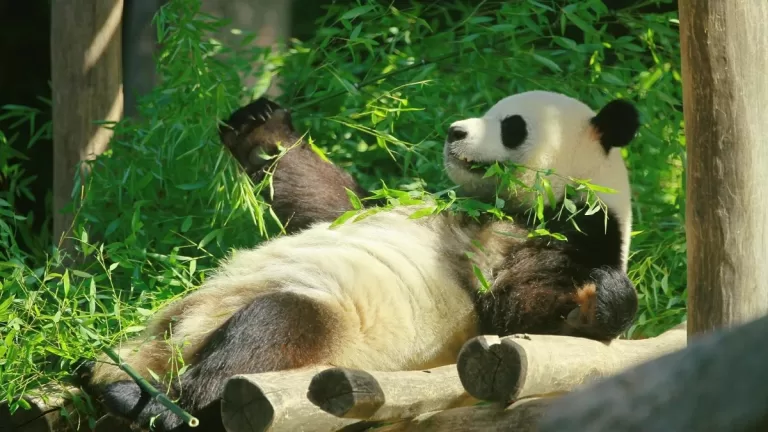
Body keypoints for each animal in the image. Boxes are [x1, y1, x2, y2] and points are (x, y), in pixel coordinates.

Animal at [78, 90, 641, 432]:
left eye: (512, 125)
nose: (455, 131)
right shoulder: (389, 201)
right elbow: (326, 198)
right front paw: (259, 123)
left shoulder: (568, 231)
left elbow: (521, 309)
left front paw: (597, 303)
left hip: (333, 342)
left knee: (271, 332)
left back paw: (156, 406)